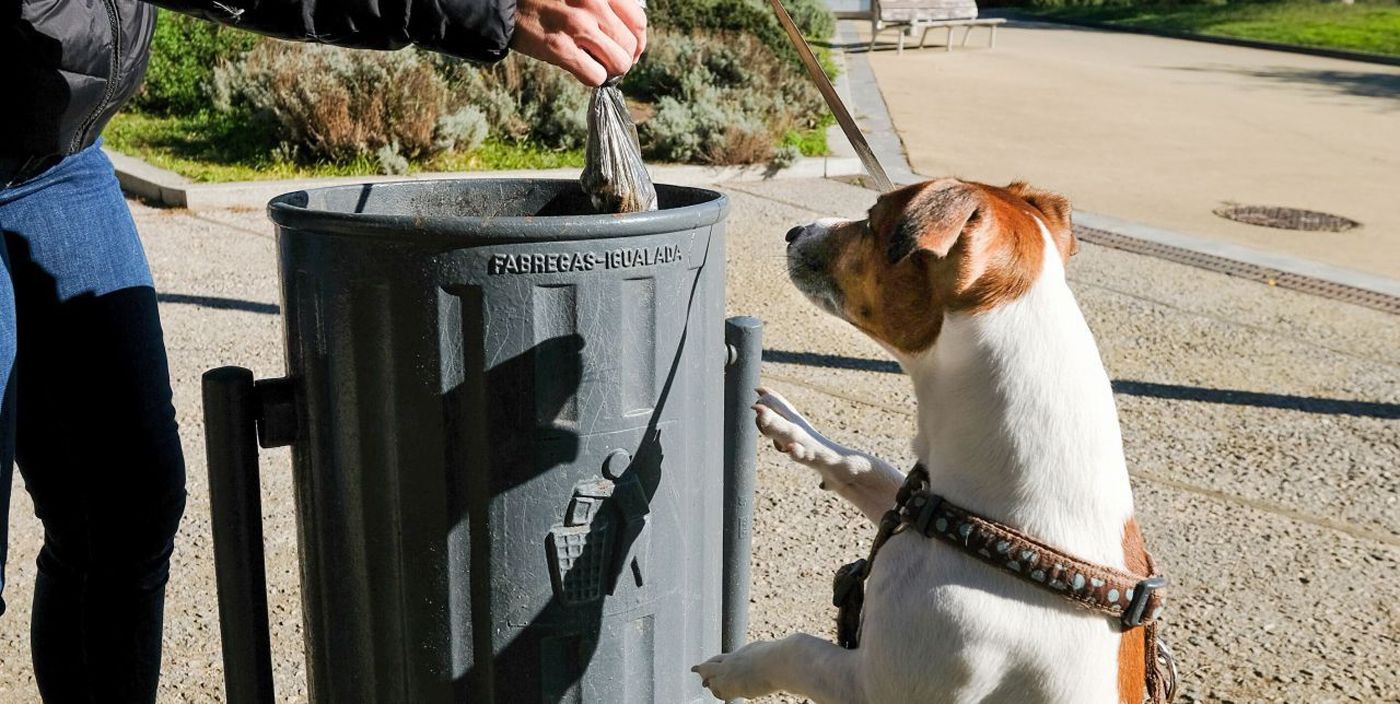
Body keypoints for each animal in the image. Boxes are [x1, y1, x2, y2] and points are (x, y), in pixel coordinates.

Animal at [691, 180, 1159, 704]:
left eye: (871, 220)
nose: (795, 231)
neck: (1014, 535)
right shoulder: (916, 502)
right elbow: (869, 467)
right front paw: (794, 427)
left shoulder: (876, 683)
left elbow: (799, 648)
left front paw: (735, 668)